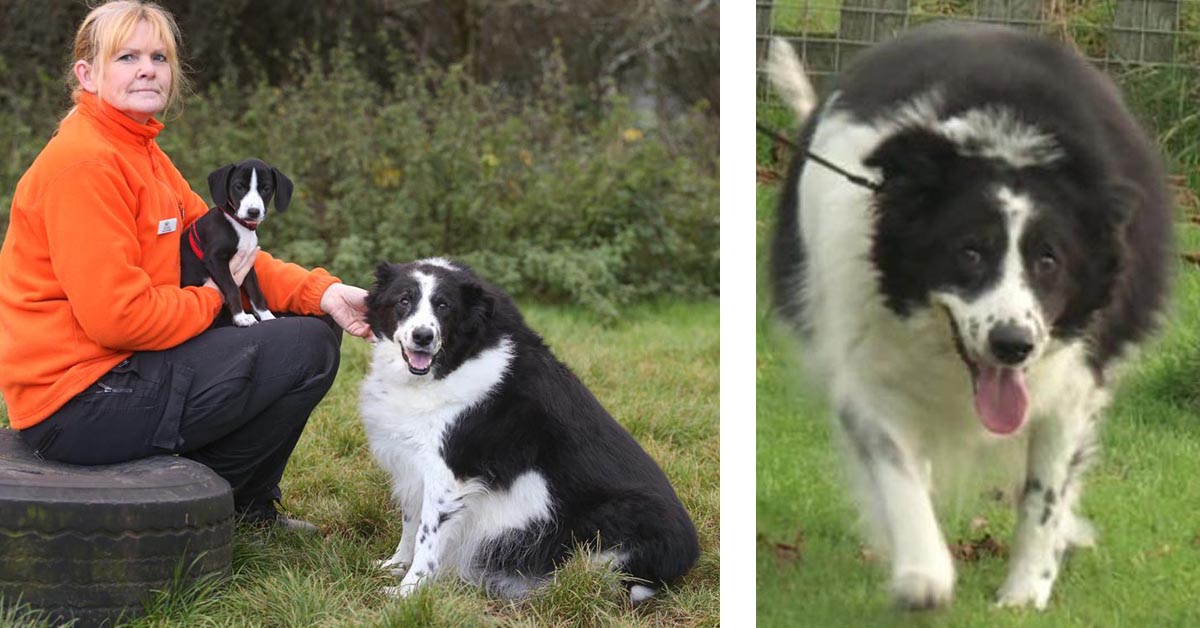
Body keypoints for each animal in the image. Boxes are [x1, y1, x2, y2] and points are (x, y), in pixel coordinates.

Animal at [182, 158, 295, 329]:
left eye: (266, 189)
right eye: (239, 187)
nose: (253, 212)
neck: (240, 226)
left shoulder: (248, 264)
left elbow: (256, 293)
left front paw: (268, 317)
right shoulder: (215, 259)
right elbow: (232, 287)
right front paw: (240, 317)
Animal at [360, 259, 700, 605]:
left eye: (444, 306)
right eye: (404, 300)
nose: (423, 337)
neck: (457, 360)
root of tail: (686, 559)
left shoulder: (449, 473)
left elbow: (427, 534)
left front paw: (409, 591)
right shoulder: (412, 464)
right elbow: (410, 521)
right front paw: (394, 566)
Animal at [768, 23, 1171, 609]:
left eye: (1049, 260)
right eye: (970, 252)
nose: (1012, 344)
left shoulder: (1075, 372)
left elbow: (1047, 488)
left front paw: (1023, 596)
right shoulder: (864, 334)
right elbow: (893, 455)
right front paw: (923, 573)